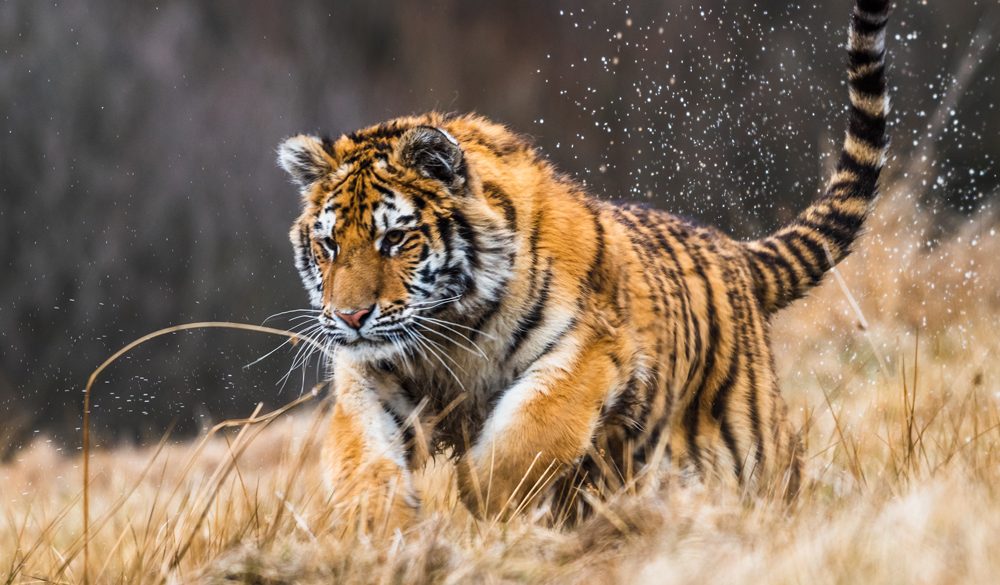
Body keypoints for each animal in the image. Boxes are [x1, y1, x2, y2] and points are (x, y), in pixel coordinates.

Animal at [276, 0, 890, 525]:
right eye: (329, 245)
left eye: (395, 239)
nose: (351, 317)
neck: (451, 332)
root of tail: (735, 252)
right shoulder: (371, 376)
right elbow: (360, 454)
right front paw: (379, 528)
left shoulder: (591, 349)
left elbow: (532, 432)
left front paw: (482, 498)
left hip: (750, 445)